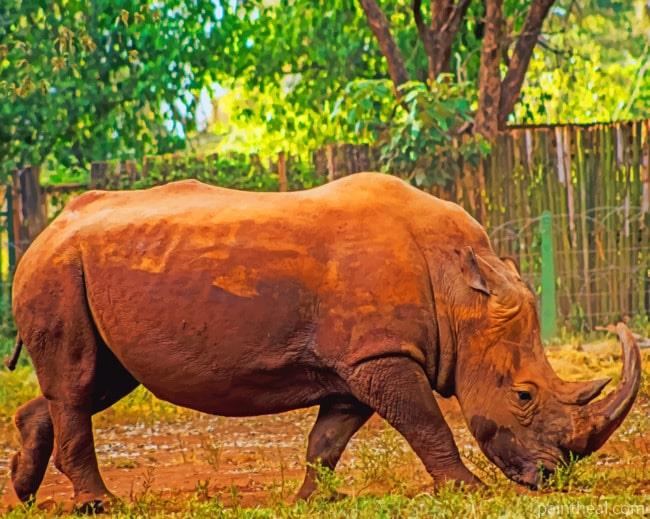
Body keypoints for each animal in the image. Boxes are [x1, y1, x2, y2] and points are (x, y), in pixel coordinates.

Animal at [7, 173, 641, 509]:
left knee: (98, 381)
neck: (461, 291)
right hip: (58, 270)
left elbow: (329, 436)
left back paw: (25, 490)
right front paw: (468, 490)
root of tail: (44, 231)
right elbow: (427, 423)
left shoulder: (359, 361)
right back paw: (98, 505)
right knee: (78, 380)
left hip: (82, 273)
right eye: (524, 396)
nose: (551, 479)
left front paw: (316, 500)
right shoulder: (381, 353)